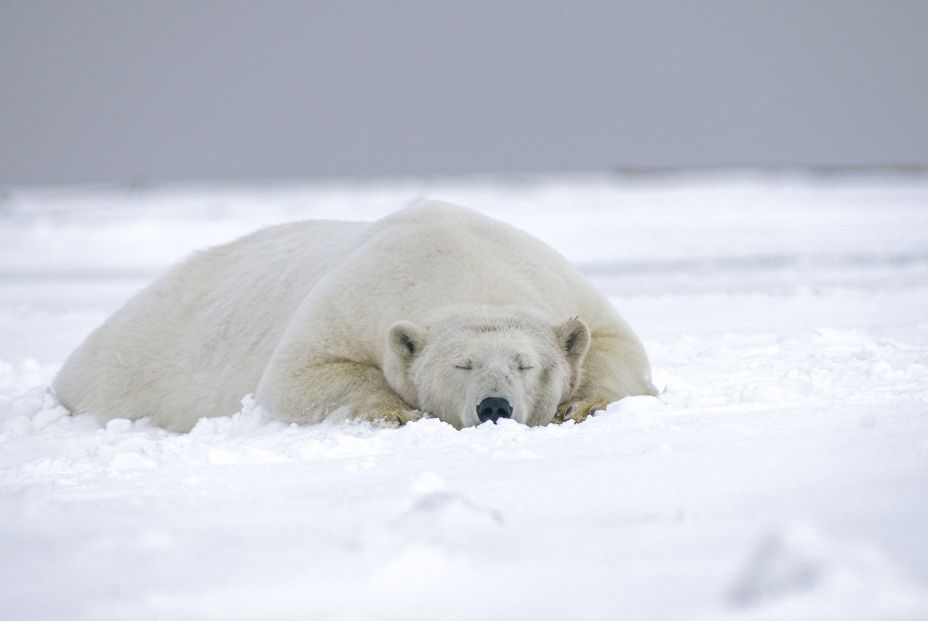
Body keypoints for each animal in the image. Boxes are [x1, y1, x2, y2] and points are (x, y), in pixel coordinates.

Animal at [53, 201, 656, 431]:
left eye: (525, 364)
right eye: (460, 365)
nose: (494, 406)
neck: (463, 264)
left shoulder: (556, 282)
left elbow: (616, 347)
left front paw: (581, 404)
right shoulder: (357, 297)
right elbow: (300, 376)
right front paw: (397, 413)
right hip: (132, 362)